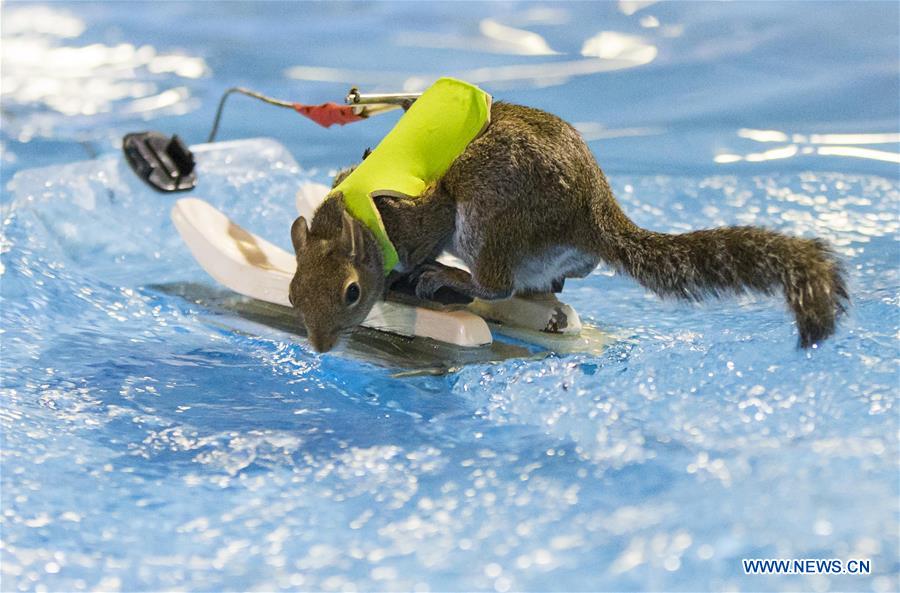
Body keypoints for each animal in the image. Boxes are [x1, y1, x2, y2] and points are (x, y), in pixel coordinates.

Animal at [290, 101, 852, 352]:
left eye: (351, 293)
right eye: (295, 294)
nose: (319, 346)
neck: (354, 214)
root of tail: (593, 215)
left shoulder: (425, 218)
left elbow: (424, 235)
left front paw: (411, 272)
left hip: (488, 223)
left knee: (497, 284)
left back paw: (450, 278)